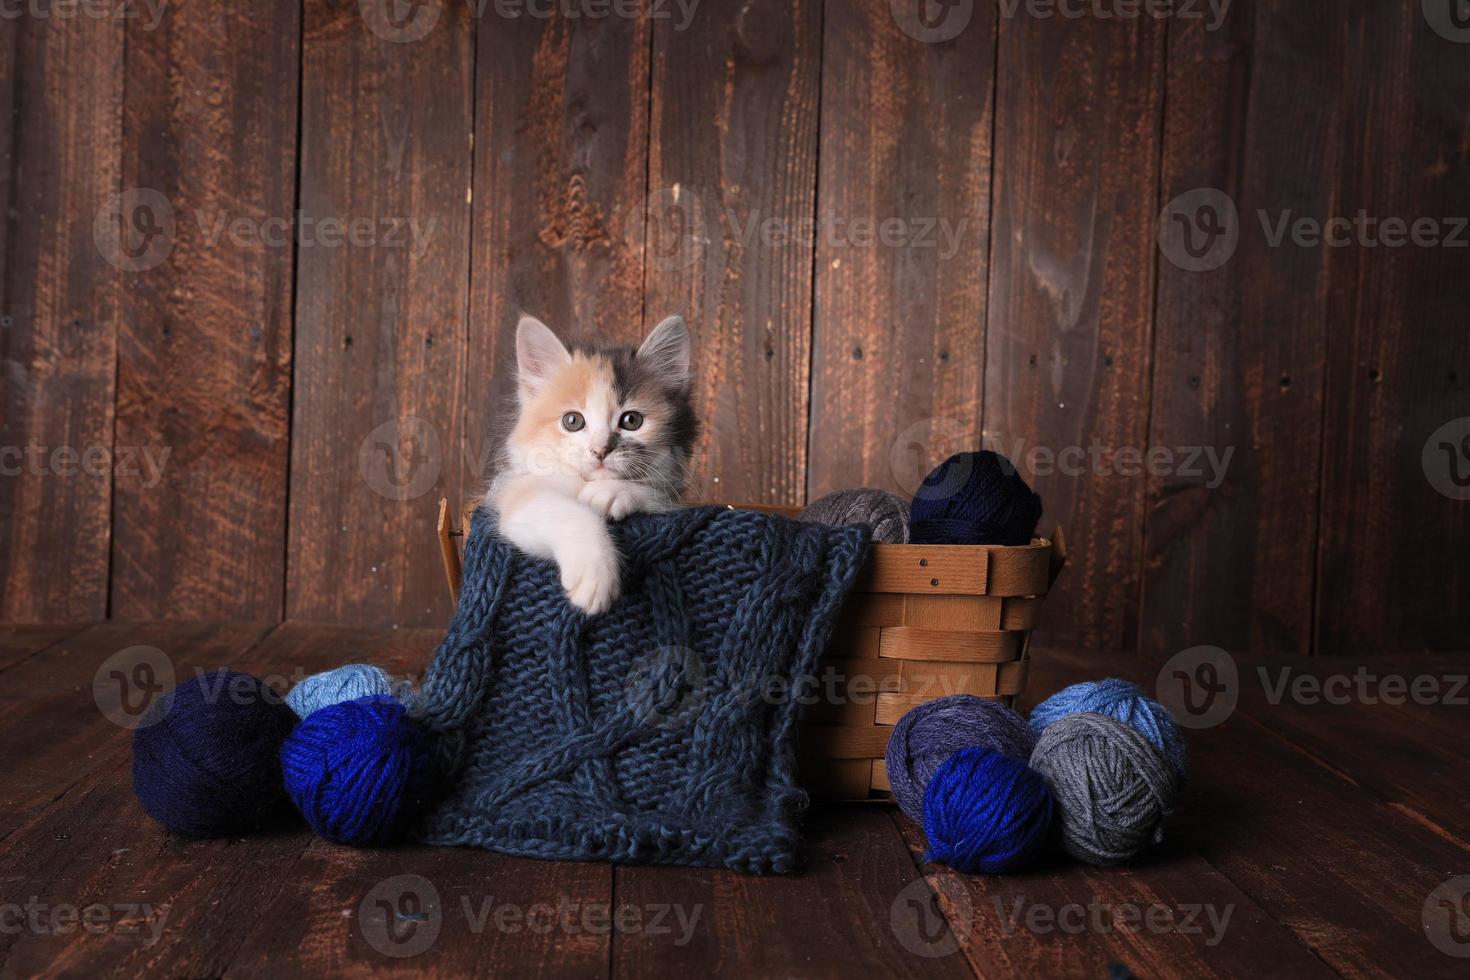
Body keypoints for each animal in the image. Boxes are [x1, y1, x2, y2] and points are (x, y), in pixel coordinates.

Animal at [488, 315, 699, 614]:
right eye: (572, 421)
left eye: (632, 420)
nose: (600, 450)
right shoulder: (516, 494)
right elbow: (566, 512)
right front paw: (595, 574)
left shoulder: (673, 496)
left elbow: (655, 493)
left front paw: (611, 493)